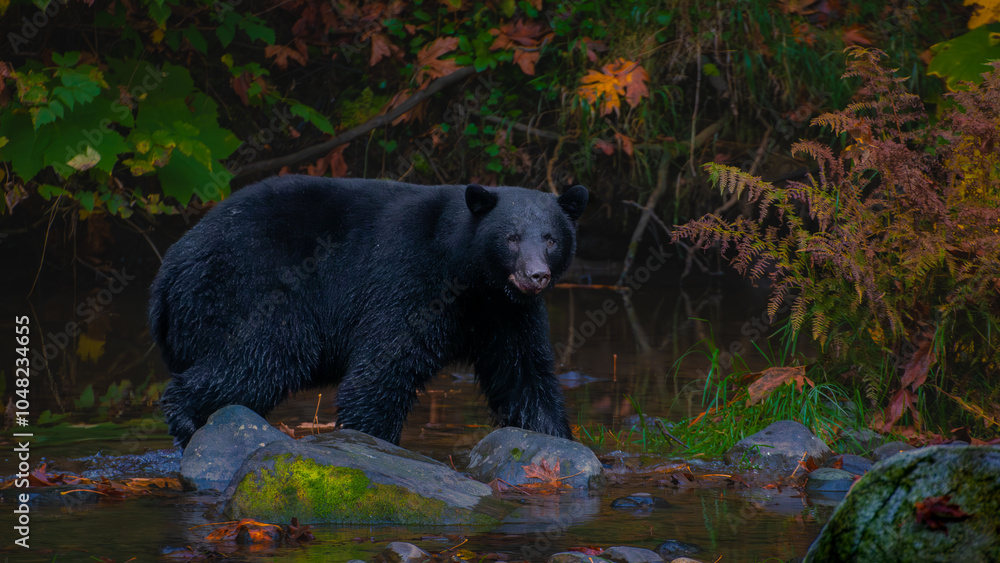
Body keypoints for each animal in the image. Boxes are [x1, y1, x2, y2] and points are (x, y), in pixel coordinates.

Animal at [149, 174, 588, 447]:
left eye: (550, 238)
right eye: (511, 237)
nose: (535, 275)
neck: (469, 274)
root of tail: (168, 272)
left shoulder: (506, 314)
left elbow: (524, 377)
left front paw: (558, 439)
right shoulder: (409, 279)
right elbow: (382, 367)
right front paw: (373, 442)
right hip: (248, 288)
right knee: (260, 357)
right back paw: (187, 418)